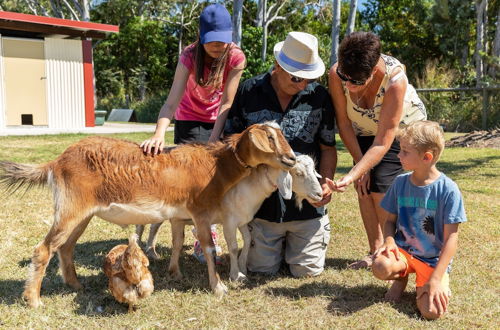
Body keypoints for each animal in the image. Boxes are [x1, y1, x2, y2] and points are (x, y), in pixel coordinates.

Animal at [0, 122, 294, 308]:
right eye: (269, 138)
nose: (291, 158)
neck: (215, 166)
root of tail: (56, 162)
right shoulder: (201, 212)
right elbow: (210, 249)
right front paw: (218, 287)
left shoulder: (179, 214)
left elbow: (177, 242)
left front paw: (175, 273)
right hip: (71, 209)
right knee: (43, 249)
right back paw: (34, 300)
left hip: (82, 214)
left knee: (66, 247)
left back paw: (75, 285)